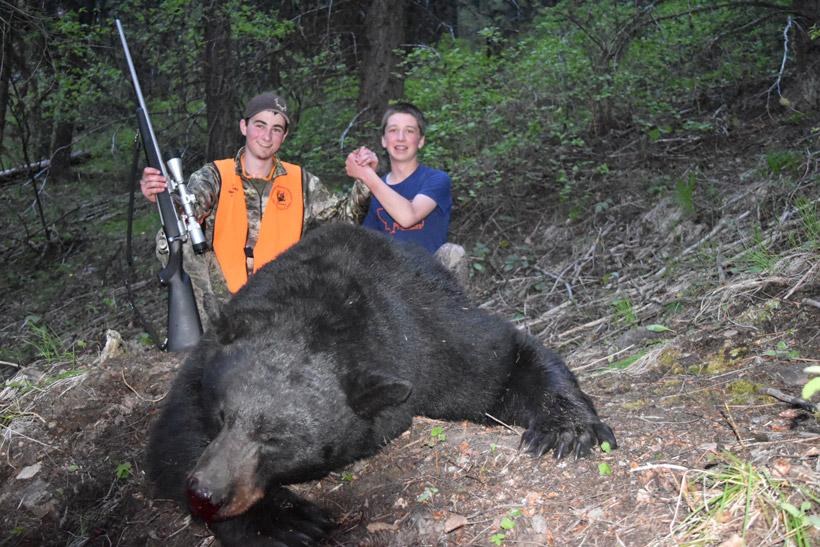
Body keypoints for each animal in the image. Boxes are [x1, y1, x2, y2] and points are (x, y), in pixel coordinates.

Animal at [146, 223, 616, 546]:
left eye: (275, 438)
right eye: (221, 414)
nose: (206, 493)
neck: (327, 311)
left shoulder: (431, 337)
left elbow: (502, 362)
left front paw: (567, 428)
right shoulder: (208, 358)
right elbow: (174, 433)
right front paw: (284, 520)